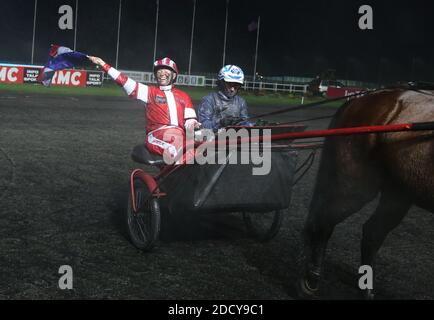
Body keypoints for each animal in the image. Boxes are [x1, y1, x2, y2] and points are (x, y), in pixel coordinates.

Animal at [298, 88, 434, 300]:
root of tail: (358, 100)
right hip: (354, 185)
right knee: (324, 222)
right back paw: (312, 278)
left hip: (399, 192)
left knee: (373, 233)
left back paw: (367, 291)